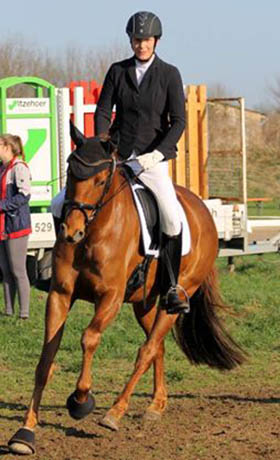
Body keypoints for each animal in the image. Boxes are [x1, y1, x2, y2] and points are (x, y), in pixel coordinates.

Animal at [8, 125, 245, 452]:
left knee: (147, 349)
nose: (71, 232)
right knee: (157, 347)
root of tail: (203, 209)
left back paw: (115, 412)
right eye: (70, 174)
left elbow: (89, 338)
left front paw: (81, 400)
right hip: (142, 303)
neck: (93, 233)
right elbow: (46, 358)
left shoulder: (110, 297)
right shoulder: (60, 295)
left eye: (100, 180)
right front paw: (25, 431)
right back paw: (156, 406)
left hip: (177, 296)